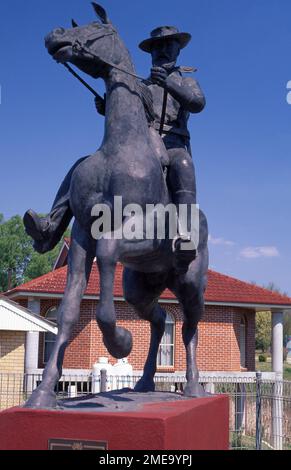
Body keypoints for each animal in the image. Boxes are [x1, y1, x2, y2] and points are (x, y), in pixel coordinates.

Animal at [24, 3, 208, 408]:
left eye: (96, 27)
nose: (54, 35)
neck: (121, 146)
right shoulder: (81, 233)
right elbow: (68, 310)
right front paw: (43, 393)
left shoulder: (140, 226)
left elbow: (108, 251)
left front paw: (120, 341)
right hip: (141, 288)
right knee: (158, 319)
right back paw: (144, 382)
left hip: (190, 283)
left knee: (189, 327)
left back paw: (191, 387)